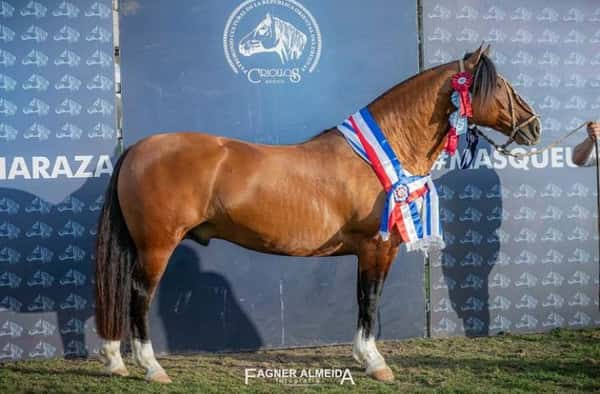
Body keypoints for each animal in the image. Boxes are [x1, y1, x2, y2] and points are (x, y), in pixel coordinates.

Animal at [96, 44, 540, 384]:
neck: (382, 152)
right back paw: (152, 368)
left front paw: (363, 357)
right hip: (157, 246)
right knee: (139, 296)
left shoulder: (367, 251)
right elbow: (370, 299)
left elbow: (362, 298)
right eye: (500, 85)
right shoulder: (377, 247)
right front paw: (376, 363)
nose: (533, 127)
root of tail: (137, 148)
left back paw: (116, 362)